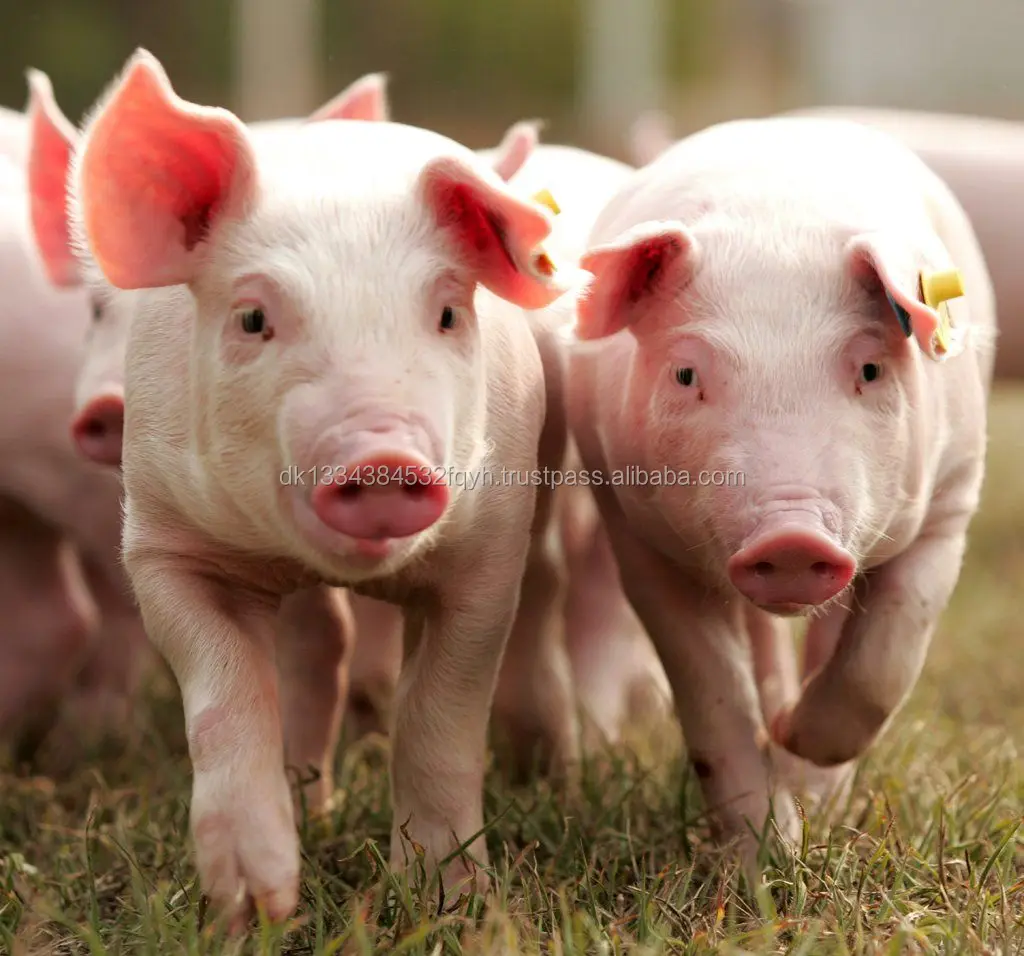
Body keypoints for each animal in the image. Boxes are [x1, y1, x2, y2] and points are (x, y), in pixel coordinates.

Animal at [68, 48, 583, 925]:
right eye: (252, 319)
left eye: (448, 315)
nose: (382, 458)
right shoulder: (164, 542)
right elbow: (225, 696)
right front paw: (254, 908)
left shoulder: (489, 555)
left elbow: (440, 717)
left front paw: (449, 903)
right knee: (318, 650)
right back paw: (311, 807)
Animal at [564, 115, 995, 873]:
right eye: (685, 374)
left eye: (870, 369)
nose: (792, 536)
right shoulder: (637, 533)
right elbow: (711, 696)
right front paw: (765, 862)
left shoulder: (950, 503)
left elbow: (884, 660)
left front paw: (798, 745)